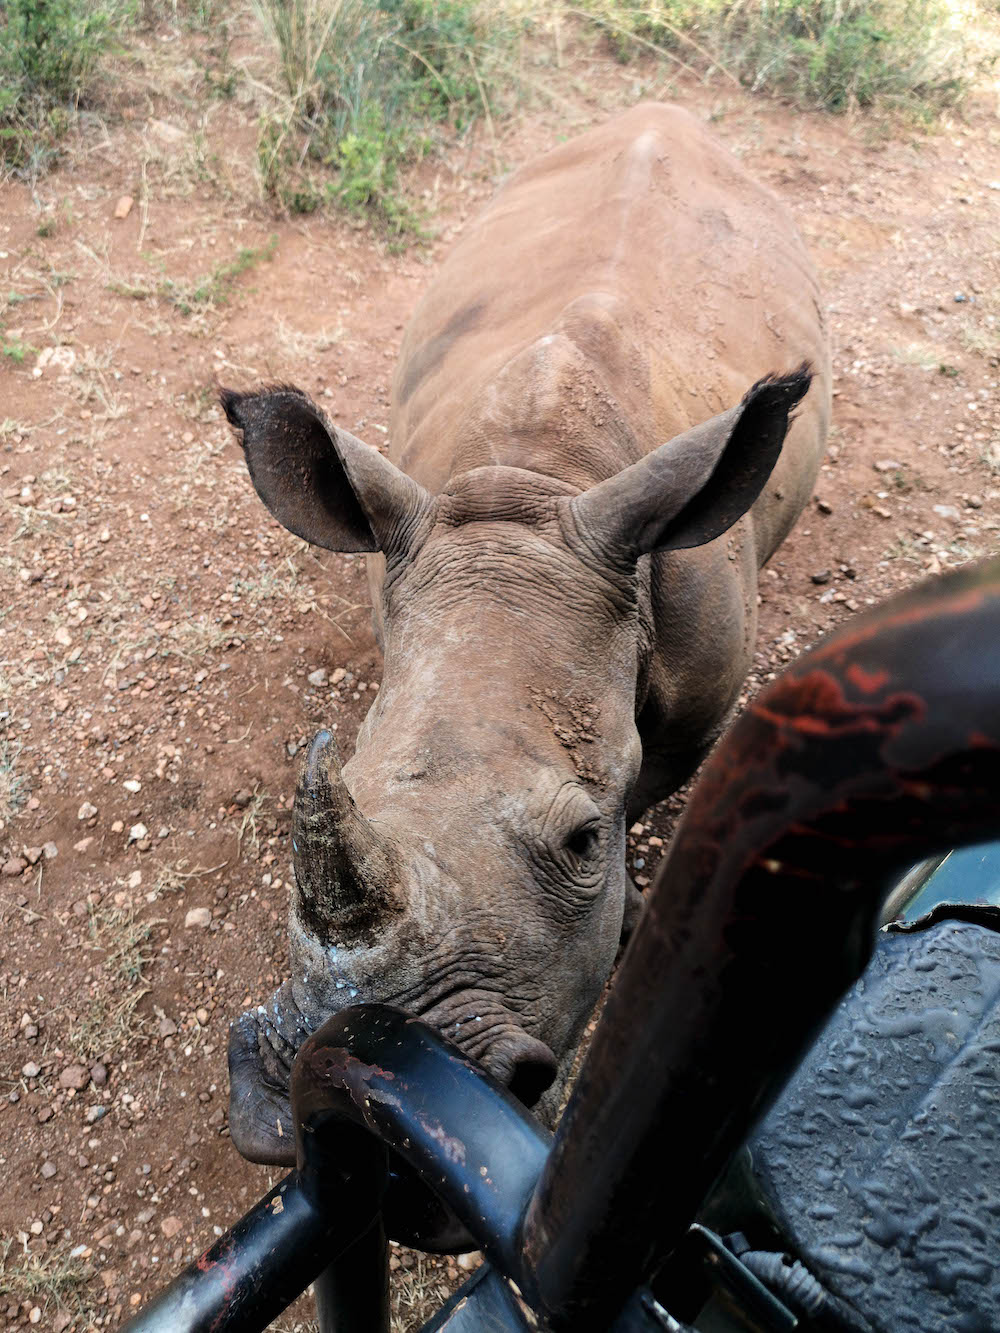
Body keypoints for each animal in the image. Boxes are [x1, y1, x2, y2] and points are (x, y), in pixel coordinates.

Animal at [225, 101, 832, 1167]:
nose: (293, 1101)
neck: (534, 488)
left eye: (582, 839)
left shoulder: (699, 706)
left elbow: (648, 785)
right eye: (354, 779)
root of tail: (668, 110)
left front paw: (622, 923)